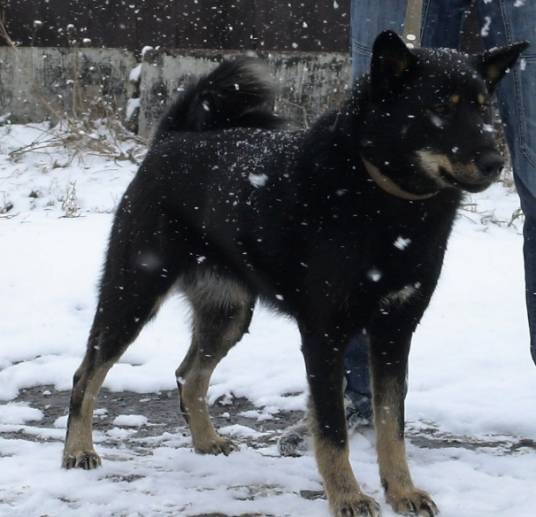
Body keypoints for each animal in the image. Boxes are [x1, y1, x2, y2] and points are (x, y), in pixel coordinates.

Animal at [63, 33, 528, 516]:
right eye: (440, 106)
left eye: (484, 108)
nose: (495, 162)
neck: (379, 197)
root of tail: (172, 139)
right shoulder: (324, 335)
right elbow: (332, 430)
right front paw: (347, 496)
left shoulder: (395, 331)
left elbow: (392, 425)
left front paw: (402, 492)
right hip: (133, 292)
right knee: (87, 374)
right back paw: (78, 450)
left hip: (227, 314)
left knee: (188, 375)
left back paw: (207, 441)